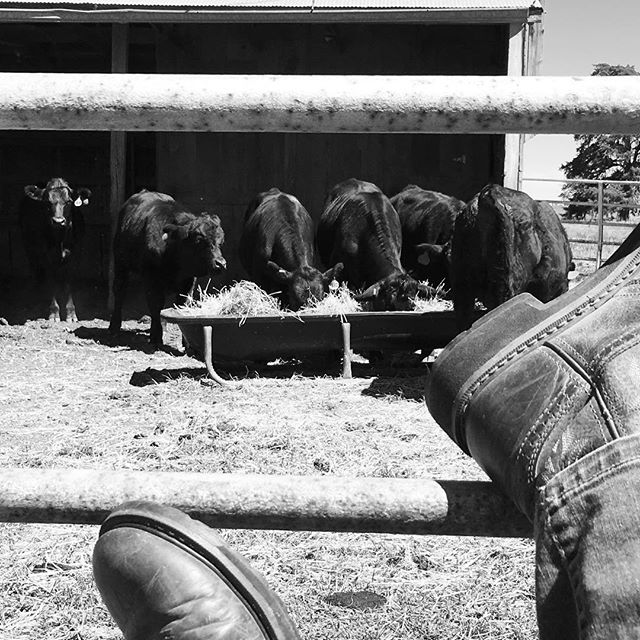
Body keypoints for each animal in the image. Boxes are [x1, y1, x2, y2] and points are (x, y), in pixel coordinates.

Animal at [19, 178, 91, 322]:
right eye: (47, 202)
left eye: (68, 202)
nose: (58, 221)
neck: (60, 239)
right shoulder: (45, 255)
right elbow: (51, 283)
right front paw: (54, 312)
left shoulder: (75, 255)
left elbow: (69, 282)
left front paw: (71, 313)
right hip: (29, 248)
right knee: (38, 273)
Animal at [110, 189, 228, 344]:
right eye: (199, 241)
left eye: (221, 241)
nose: (221, 263)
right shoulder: (152, 279)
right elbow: (155, 304)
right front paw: (155, 336)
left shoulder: (188, 281)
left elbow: (181, 305)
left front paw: (186, 341)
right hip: (121, 263)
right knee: (120, 291)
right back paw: (114, 326)